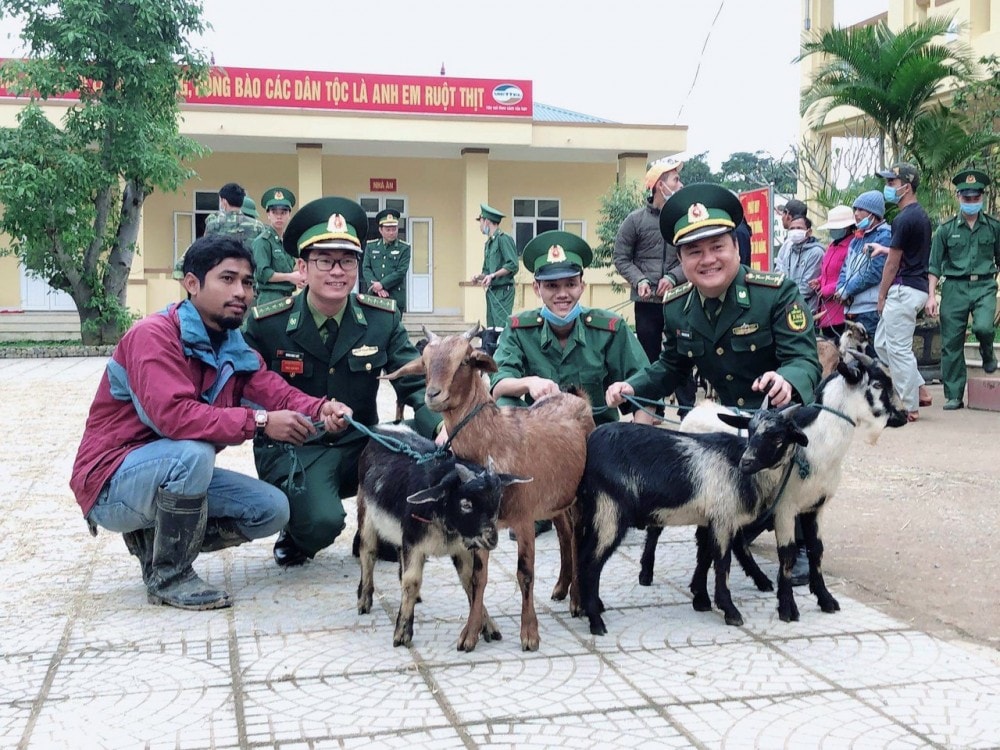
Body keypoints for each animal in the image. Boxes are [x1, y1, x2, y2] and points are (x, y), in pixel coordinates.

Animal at [358, 428, 532, 652]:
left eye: (498, 499)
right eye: (466, 504)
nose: (491, 539)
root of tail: (382, 430)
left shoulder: (462, 549)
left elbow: (470, 582)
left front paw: (487, 626)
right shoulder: (413, 543)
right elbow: (411, 581)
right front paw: (402, 632)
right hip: (365, 512)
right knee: (368, 552)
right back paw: (364, 600)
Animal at [382, 328, 592, 652]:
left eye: (465, 361)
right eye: (425, 362)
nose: (433, 394)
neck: (495, 440)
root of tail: (576, 397)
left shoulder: (523, 517)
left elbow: (525, 573)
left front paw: (530, 635)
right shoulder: (479, 527)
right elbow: (477, 577)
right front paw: (469, 635)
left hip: (579, 493)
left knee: (578, 537)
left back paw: (578, 602)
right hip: (555, 497)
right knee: (565, 534)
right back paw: (561, 587)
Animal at [576, 408, 808, 636]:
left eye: (778, 437)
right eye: (750, 431)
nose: (747, 462)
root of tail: (590, 444)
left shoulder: (710, 518)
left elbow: (704, 557)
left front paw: (701, 598)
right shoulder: (723, 518)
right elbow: (722, 562)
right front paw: (730, 611)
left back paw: (591, 607)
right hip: (610, 511)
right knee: (590, 562)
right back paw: (596, 621)